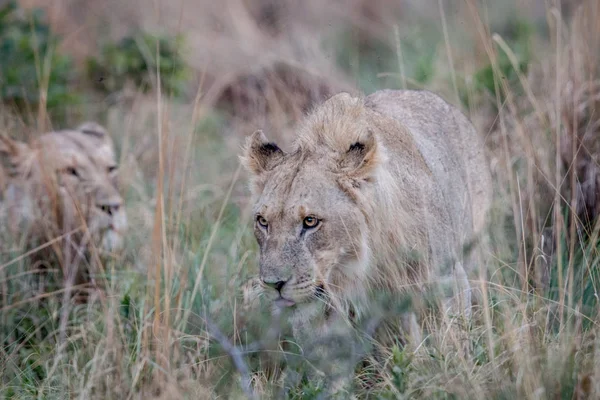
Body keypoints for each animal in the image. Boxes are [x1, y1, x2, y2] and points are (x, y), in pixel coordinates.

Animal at [241, 90, 494, 390]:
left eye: (310, 221)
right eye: (263, 222)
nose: (273, 284)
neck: (356, 263)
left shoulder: (446, 282)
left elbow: (449, 344)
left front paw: (450, 380)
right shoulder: (317, 308)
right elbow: (329, 367)